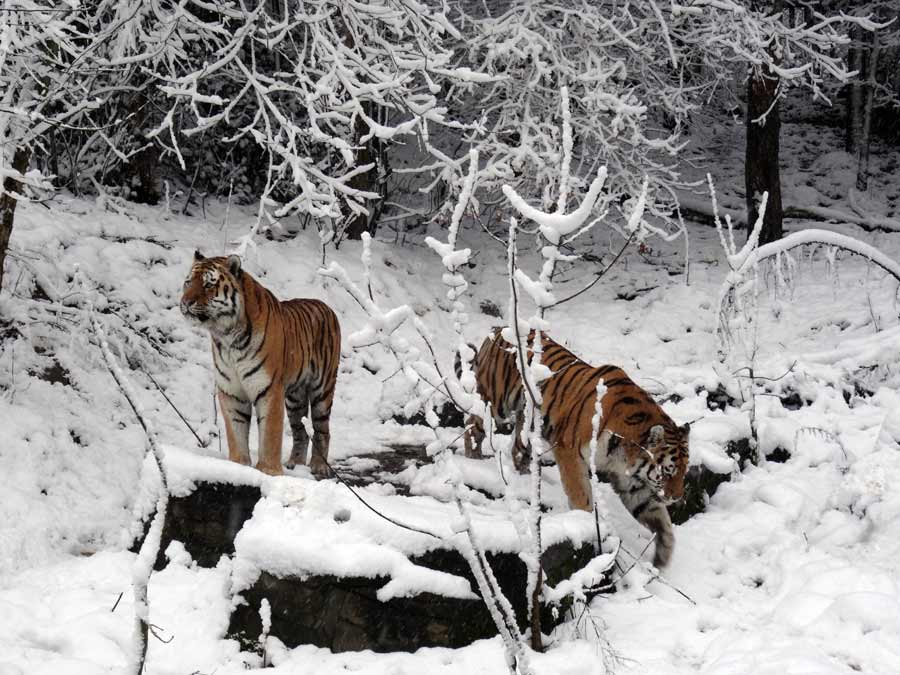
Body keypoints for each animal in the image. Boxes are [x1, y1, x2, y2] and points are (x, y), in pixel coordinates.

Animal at [182, 251, 342, 478]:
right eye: (188, 282)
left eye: (208, 284)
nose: (185, 302)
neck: (227, 336)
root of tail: (326, 306)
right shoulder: (231, 392)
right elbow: (236, 432)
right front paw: (238, 466)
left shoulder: (269, 388)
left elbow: (270, 434)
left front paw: (269, 471)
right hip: (295, 398)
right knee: (300, 431)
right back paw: (295, 464)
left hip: (322, 390)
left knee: (322, 430)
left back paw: (319, 466)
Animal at [460, 330, 692, 568]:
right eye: (668, 472)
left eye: (684, 472)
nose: (677, 497)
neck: (626, 454)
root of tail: (497, 330)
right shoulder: (569, 451)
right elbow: (580, 493)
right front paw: (586, 523)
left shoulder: (631, 482)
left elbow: (660, 518)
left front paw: (663, 559)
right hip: (494, 403)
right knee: (472, 426)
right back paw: (472, 459)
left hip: (528, 424)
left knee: (517, 449)